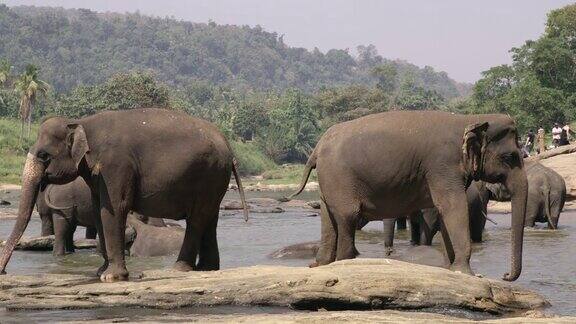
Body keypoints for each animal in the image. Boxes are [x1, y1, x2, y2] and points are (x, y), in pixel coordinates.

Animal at [0, 108, 248, 280]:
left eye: (44, 155)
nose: (3, 272)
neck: (81, 122)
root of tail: (229, 148)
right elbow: (98, 210)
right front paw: (100, 272)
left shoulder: (116, 165)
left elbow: (113, 209)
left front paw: (111, 276)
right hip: (215, 179)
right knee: (210, 218)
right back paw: (207, 269)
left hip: (208, 174)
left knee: (197, 219)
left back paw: (179, 268)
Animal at [290, 111, 528, 280]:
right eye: (510, 157)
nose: (505, 275)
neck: (469, 119)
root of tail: (316, 148)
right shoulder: (442, 165)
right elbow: (452, 206)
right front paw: (467, 273)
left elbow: (445, 212)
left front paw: (451, 269)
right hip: (339, 178)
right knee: (347, 216)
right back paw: (344, 262)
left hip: (328, 181)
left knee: (328, 217)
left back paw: (320, 264)